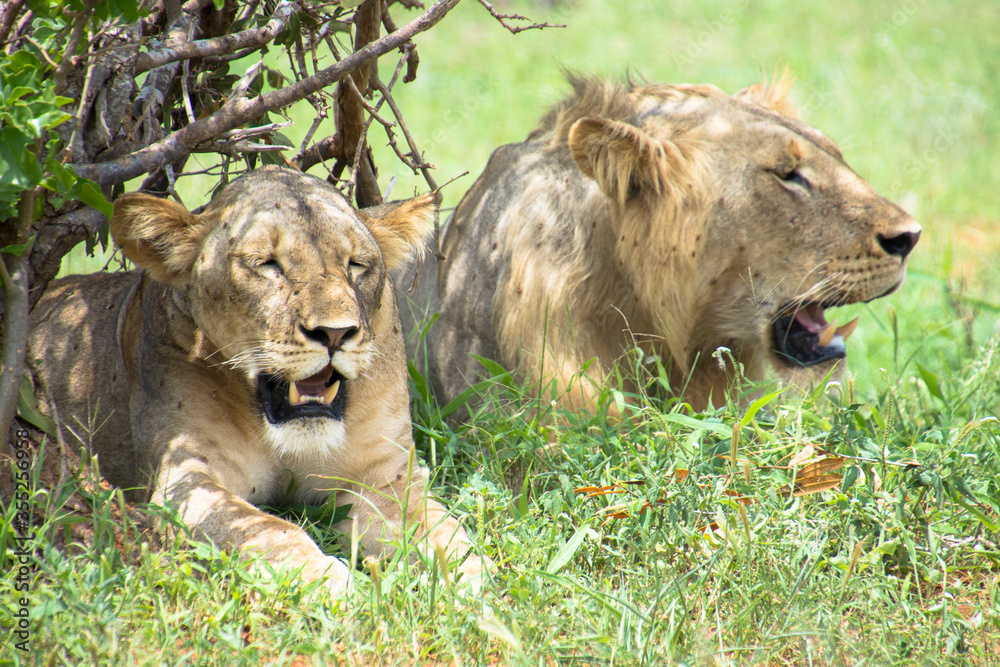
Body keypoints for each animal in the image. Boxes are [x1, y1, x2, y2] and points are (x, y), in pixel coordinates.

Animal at [28, 167, 485, 595]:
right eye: (268, 264)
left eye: (356, 265)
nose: (336, 333)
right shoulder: (186, 478)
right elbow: (267, 529)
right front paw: (325, 580)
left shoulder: (384, 474)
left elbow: (438, 526)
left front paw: (468, 579)